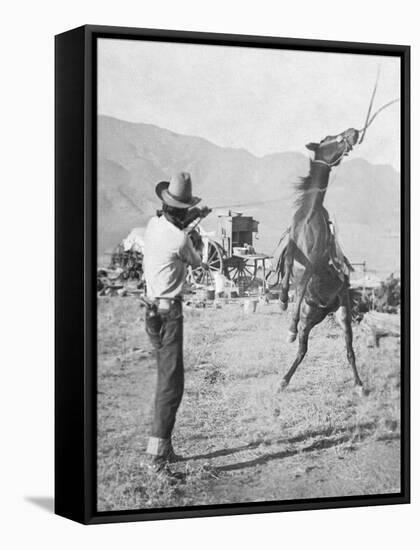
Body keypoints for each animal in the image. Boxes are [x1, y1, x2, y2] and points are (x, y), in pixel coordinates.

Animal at [278, 126, 366, 392]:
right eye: (331, 139)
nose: (353, 132)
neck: (310, 214)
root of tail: (326, 310)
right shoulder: (294, 248)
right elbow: (288, 267)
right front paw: (283, 300)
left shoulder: (316, 260)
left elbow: (302, 282)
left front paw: (289, 327)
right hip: (310, 319)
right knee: (302, 350)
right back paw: (284, 380)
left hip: (343, 314)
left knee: (349, 350)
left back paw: (359, 384)